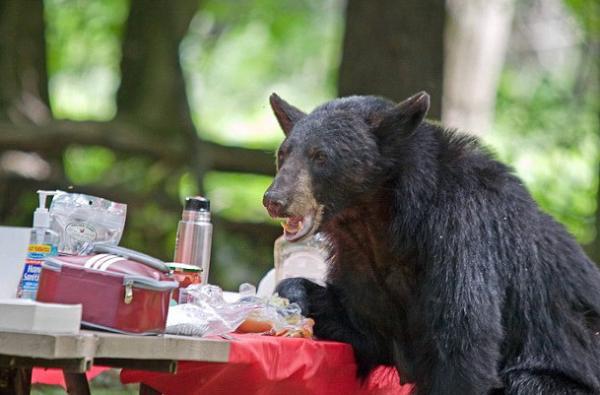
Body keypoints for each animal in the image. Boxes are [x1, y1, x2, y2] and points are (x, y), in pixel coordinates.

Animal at [264, 92, 600, 395]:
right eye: (283, 154)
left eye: (321, 156)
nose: (274, 199)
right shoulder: (360, 259)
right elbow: (366, 326)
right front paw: (294, 296)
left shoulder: (462, 233)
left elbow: (464, 345)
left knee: (527, 382)